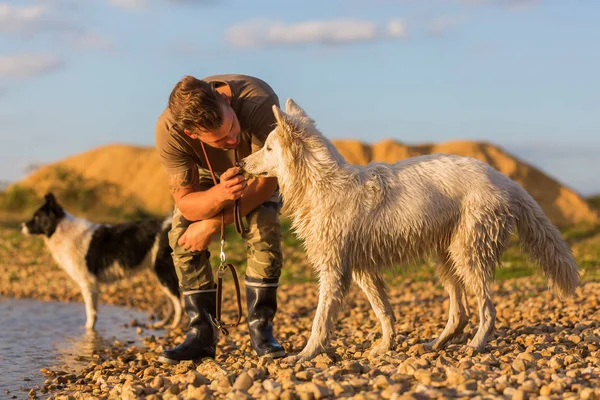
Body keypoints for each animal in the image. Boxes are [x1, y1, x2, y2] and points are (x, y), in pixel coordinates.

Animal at [22, 192, 182, 330]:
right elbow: (93, 311)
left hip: (164, 273)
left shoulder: (88, 283)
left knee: (179, 302)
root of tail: (169, 224)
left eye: (36, 217)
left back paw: (174, 326)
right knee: (172, 303)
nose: (20, 226)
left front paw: (88, 331)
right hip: (159, 275)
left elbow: (90, 312)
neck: (60, 229)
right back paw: (162, 324)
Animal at [240, 98, 580, 360]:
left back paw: (475, 345)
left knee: (487, 310)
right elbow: (384, 312)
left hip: (468, 256)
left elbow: (320, 320)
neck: (323, 184)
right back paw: (436, 344)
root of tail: (504, 179)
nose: (241, 164)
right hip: (446, 260)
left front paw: (306, 354)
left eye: (268, 148)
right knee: (460, 313)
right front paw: (385, 348)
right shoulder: (363, 270)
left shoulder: (334, 271)